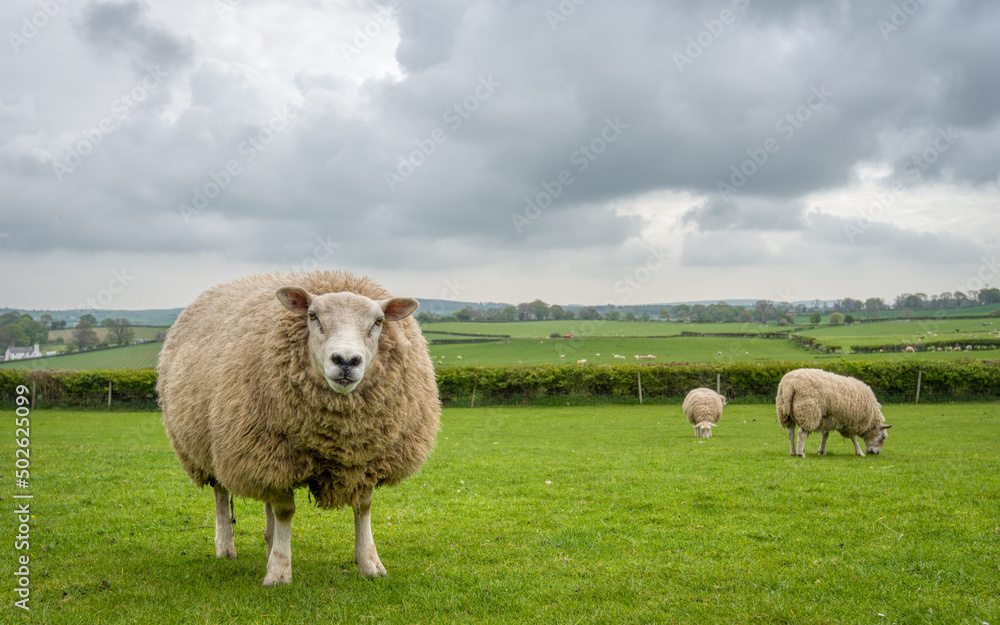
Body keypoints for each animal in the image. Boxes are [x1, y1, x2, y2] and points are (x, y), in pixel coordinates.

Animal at [157, 271, 441, 587]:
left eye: (378, 321)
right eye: (312, 316)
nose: (346, 361)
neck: (337, 436)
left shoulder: (365, 457)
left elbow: (363, 506)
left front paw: (370, 564)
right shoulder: (271, 454)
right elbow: (284, 511)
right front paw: (279, 571)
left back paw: (269, 542)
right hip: (213, 446)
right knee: (221, 492)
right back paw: (226, 546)